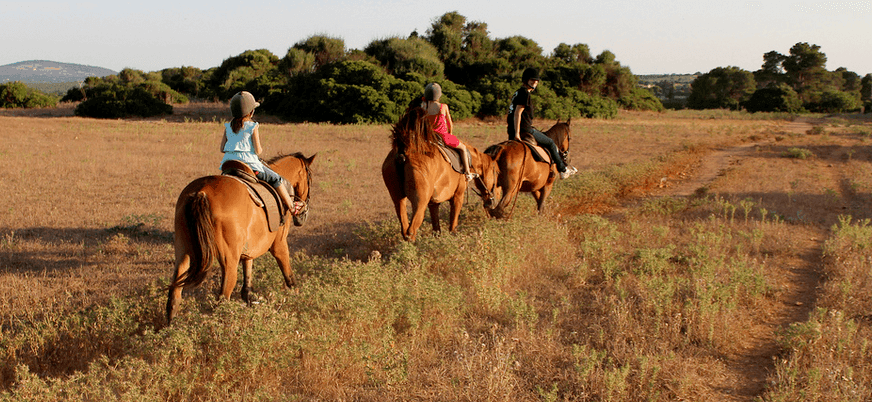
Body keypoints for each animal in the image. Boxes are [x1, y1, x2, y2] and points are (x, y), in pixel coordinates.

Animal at [165, 152, 315, 325]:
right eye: (310, 179)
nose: (303, 215)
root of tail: (201, 192)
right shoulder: (279, 246)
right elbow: (290, 278)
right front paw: (299, 300)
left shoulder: (248, 250)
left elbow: (247, 282)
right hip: (229, 260)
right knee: (223, 298)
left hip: (183, 251)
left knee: (174, 294)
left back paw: (169, 328)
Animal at [381, 107, 498, 241]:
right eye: (496, 176)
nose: (491, 203)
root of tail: (403, 151)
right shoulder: (458, 196)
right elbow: (453, 225)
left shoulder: (433, 203)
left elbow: (436, 229)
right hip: (420, 202)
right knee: (411, 231)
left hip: (398, 199)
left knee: (405, 229)